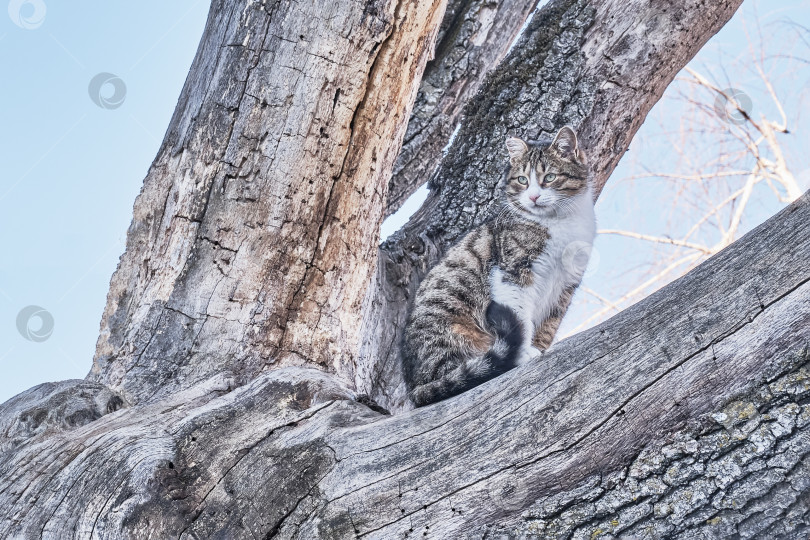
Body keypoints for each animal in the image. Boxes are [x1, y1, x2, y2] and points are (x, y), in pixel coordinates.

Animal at [402, 125, 592, 404]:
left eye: (549, 177)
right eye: (522, 180)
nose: (533, 197)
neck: (561, 223)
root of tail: (415, 387)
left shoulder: (566, 284)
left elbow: (548, 326)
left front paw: (541, 347)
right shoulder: (513, 272)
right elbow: (520, 317)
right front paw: (524, 354)